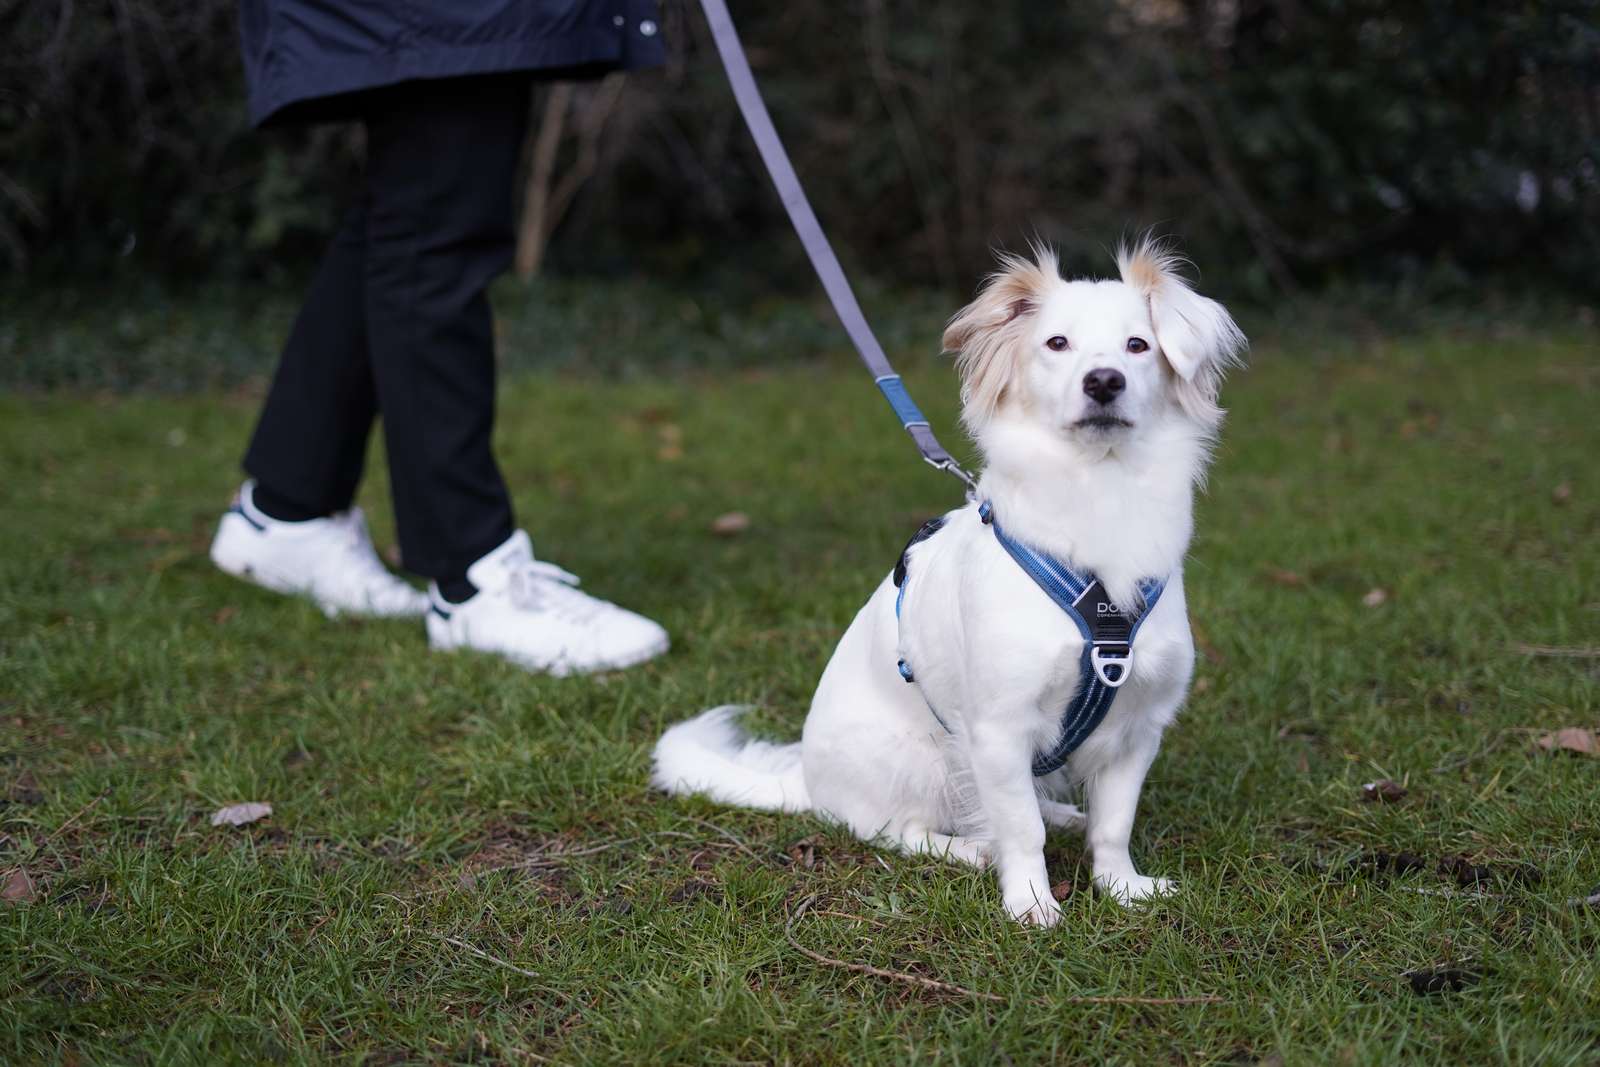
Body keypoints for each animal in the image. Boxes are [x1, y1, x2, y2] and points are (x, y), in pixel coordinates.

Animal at [656, 241, 1241, 927]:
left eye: (1138, 345)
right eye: (1058, 343)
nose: (1104, 381)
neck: (1099, 492)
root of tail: (810, 782)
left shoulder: (1136, 725)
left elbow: (1113, 825)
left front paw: (1122, 888)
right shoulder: (997, 727)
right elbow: (1019, 829)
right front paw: (1031, 903)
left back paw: (1062, 814)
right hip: (918, 759)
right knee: (903, 830)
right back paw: (969, 851)